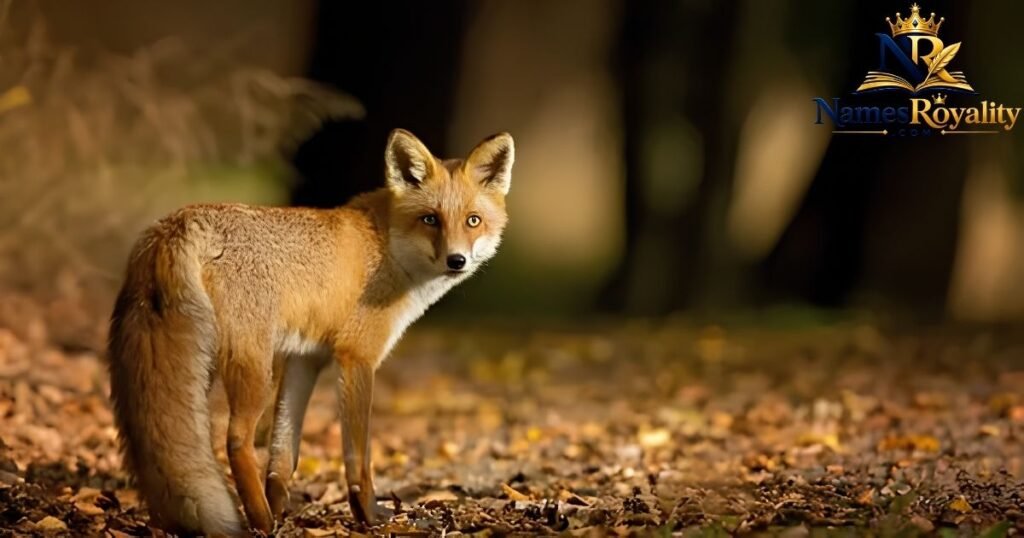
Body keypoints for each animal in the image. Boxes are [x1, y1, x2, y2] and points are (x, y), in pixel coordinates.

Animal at [107, 129, 514, 535]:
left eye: (473, 221)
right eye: (430, 219)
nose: (456, 260)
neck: (385, 247)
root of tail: (175, 223)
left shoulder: (305, 358)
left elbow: (283, 454)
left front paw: (282, 507)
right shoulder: (356, 356)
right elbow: (358, 457)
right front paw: (368, 515)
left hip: (202, 365)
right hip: (252, 369)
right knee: (235, 440)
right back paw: (259, 521)